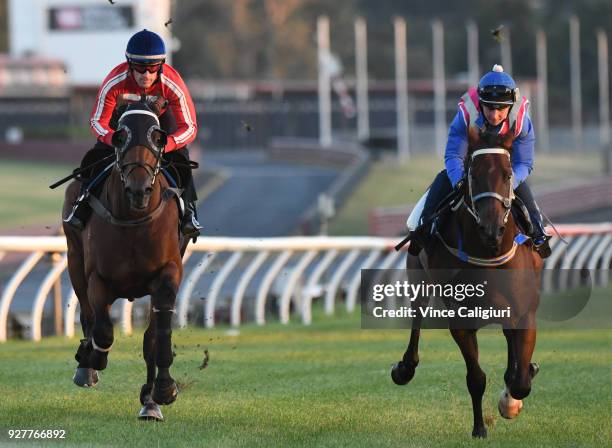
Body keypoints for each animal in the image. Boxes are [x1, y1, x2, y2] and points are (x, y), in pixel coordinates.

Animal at [63, 100, 189, 420]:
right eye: (120, 137)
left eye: (158, 137)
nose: (139, 189)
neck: (134, 219)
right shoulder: (98, 278)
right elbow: (103, 330)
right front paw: (91, 359)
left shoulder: (168, 273)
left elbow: (156, 338)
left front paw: (161, 391)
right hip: (73, 257)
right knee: (88, 315)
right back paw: (86, 365)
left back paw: (150, 401)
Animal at [390, 125, 544, 438]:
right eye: (473, 175)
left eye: (508, 175)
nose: (491, 228)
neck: (490, 252)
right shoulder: (461, 319)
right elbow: (476, 378)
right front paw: (480, 428)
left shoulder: (525, 312)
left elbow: (521, 381)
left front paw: (511, 399)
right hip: (418, 276)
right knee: (417, 316)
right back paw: (405, 368)